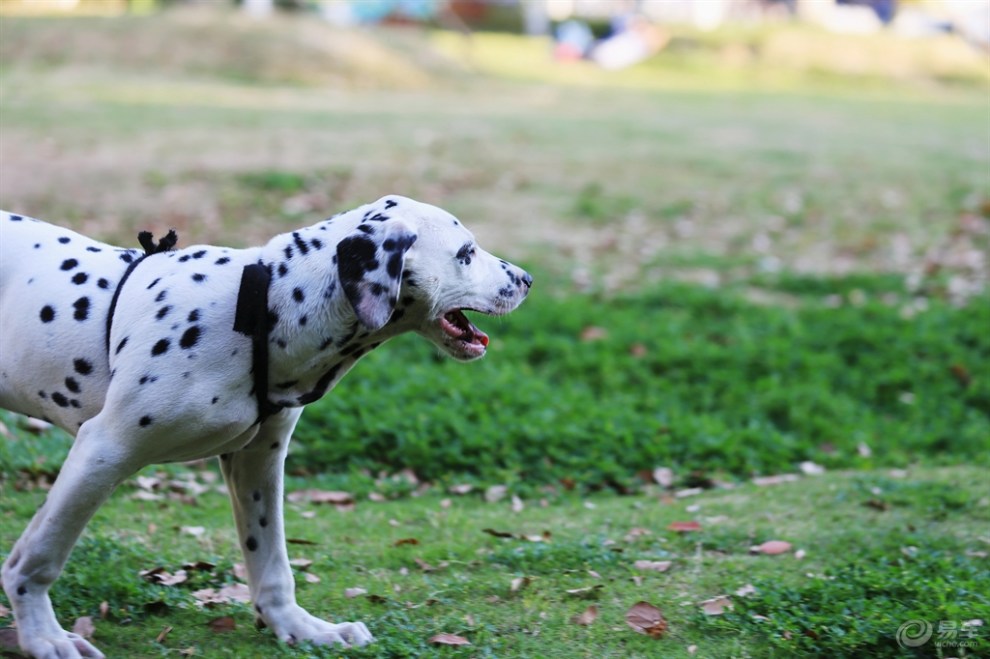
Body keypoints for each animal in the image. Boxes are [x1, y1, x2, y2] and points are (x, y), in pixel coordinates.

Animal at [0, 196, 536, 659]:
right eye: (466, 253)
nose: (528, 278)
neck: (263, 307)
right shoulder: (103, 450)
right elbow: (38, 557)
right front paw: (45, 636)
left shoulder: (257, 462)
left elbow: (272, 562)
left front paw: (300, 627)